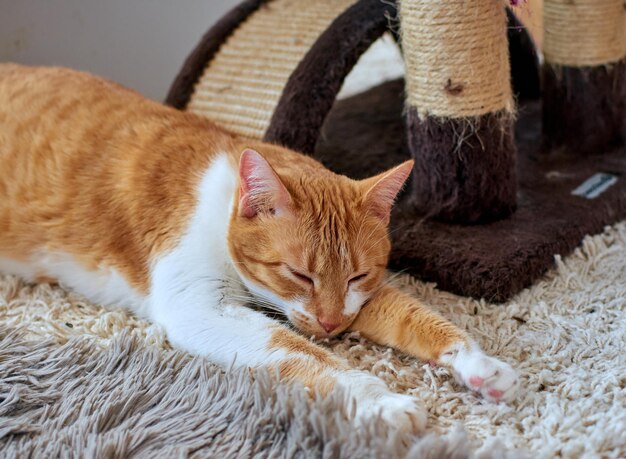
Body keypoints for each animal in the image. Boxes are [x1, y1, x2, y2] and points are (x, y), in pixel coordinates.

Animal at [0, 64, 516, 432]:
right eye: (299, 274)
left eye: (357, 275)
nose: (331, 325)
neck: (222, 203)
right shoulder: (202, 307)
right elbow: (303, 354)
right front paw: (378, 399)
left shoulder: (359, 300)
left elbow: (417, 319)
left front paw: (479, 366)